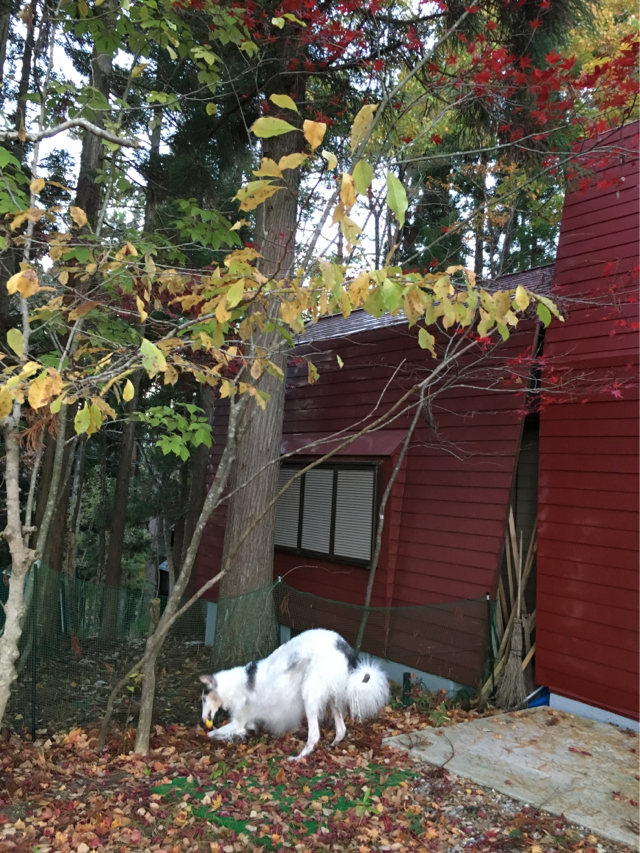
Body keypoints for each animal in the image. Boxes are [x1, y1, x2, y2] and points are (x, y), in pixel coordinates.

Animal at [199, 628, 389, 760]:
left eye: (203, 699)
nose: (202, 720)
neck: (232, 685)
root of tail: (343, 646)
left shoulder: (238, 722)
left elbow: (217, 732)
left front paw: (207, 734)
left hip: (309, 692)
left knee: (314, 734)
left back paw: (298, 757)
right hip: (332, 696)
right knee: (341, 729)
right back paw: (333, 743)